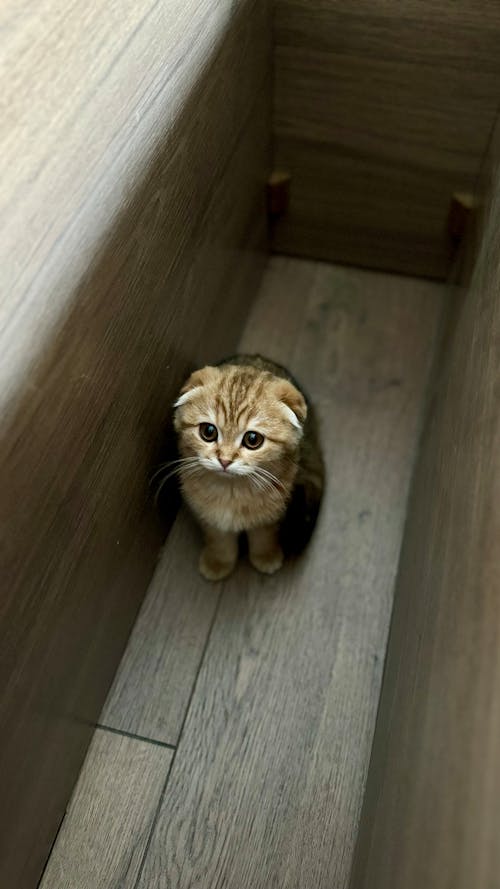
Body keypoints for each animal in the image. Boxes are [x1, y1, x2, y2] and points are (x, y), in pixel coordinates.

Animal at [171, 354, 324, 584]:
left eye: (253, 439)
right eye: (208, 431)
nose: (224, 460)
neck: (232, 490)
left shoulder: (272, 513)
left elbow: (264, 535)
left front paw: (266, 555)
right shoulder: (210, 516)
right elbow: (219, 539)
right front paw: (219, 561)